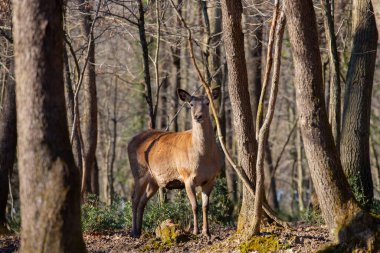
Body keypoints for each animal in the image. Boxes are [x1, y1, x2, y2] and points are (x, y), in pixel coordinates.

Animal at [128, 87, 223, 237]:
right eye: (191, 104)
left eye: (207, 103)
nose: (198, 116)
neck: (204, 159)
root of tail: (129, 142)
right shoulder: (187, 176)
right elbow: (194, 205)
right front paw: (195, 231)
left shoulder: (211, 178)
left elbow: (205, 206)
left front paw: (206, 232)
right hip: (139, 173)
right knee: (134, 198)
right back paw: (134, 231)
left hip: (154, 180)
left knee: (143, 200)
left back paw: (139, 229)